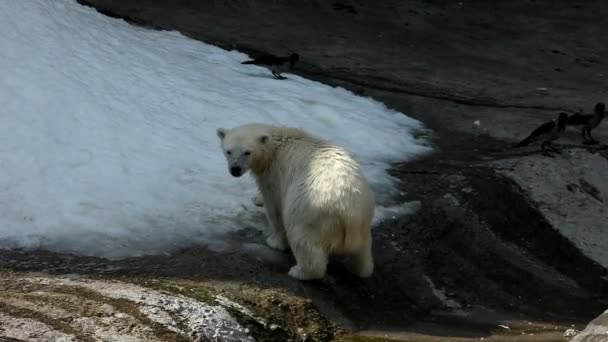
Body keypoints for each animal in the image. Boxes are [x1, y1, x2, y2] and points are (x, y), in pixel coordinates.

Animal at [216, 124, 372, 280]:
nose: (235, 169)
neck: (274, 146)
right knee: (362, 251)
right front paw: (257, 198)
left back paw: (299, 271)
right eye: (228, 151)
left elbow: (274, 207)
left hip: (309, 212)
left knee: (302, 240)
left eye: (247, 152)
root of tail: (349, 214)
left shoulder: (275, 174)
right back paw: (359, 269)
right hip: (363, 222)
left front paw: (275, 242)